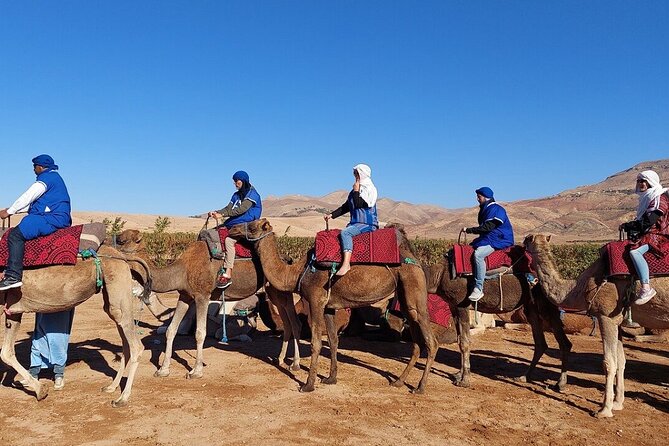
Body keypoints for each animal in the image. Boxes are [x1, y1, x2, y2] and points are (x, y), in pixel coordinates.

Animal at [0, 245, 148, 407]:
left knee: (136, 346)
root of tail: (122, 256)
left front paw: (41, 390)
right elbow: (6, 352)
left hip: (119, 288)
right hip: (112, 299)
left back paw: (123, 398)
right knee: (126, 343)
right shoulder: (12, 309)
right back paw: (111, 387)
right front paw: (40, 389)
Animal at [114, 229, 303, 377]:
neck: (182, 269)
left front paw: (196, 371)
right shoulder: (185, 296)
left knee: (294, 321)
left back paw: (295, 364)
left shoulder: (202, 296)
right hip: (272, 290)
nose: (109, 246)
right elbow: (170, 330)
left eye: (121, 240)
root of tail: (286, 260)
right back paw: (280, 359)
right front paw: (163, 370)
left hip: (280, 288)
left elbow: (200, 333)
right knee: (286, 321)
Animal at [227, 219, 438, 393]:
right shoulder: (329, 305)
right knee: (417, 341)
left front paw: (308, 384)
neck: (297, 272)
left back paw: (420, 387)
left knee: (431, 341)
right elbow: (333, 340)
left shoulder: (316, 300)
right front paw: (330, 378)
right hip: (404, 296)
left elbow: (316, 342)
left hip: (414, 287)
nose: (231, 228)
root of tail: (414, 258)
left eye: (252, 226)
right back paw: (399, 381)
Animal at [423, 258, 572, 391]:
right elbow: (460, 340)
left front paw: (464, 380)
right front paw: (458, 375)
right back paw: (524, 377)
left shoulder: (462, 305)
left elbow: (465, 342)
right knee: (541, 343)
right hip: (531, 308)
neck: (439, 276)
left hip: (546, 306)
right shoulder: (453, 307)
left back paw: (560, 384)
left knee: (564, 343)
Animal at [523, 233, 669, 418]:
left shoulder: (605, 316)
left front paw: (604, 410)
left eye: (528, 239)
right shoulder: (617, 320)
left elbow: (608, 363)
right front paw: (617, 404)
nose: (522, 243)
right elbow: (621, 361)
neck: (578, 289)